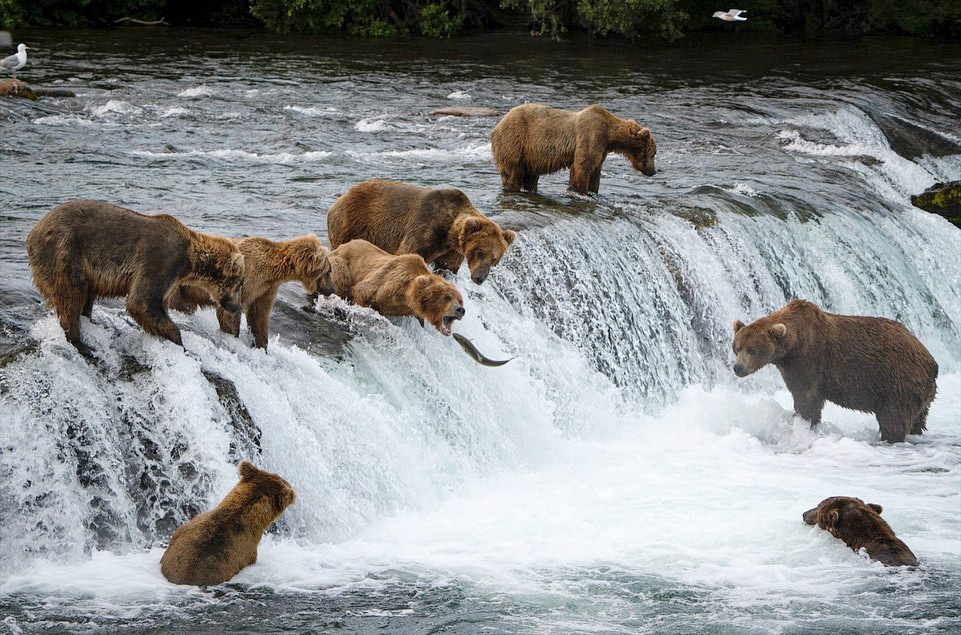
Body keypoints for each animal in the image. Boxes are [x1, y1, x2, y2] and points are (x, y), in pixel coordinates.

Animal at [167, 235, 328, 350]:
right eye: (328, 270)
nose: (329, 289)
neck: (272, 271)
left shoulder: (265, 289)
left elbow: (259, 316)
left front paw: (261, 345)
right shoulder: (247, 279)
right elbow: (229, 312)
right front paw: (233, 335)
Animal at [324, 181, 516, 286]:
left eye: (495, 259)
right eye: (480, 252)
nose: (479, 278)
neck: (449, 233)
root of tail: (338, 200)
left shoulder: (451, 251)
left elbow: (447, 267)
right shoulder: (425, 228)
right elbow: (409, 253)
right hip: (352, 224)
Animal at [492, 103, 656, 196]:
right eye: (653, 153)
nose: (653, 171)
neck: (610, 135)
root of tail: (498, 124)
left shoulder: (602, 149)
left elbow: (595, 171)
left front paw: (592, 191)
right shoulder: (591, 135)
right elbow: (581, 167)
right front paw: (580, 192)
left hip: (530, 156)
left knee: (530, 177)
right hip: (515, 142)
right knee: (512, 172)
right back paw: (512, 188)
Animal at [732, 300, 932, 444]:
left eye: (752, 350)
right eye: (737, 347)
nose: (737, 368)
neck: (793, 344)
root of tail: (930, 361)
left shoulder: (807, 362)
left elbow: (807, 400)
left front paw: (802, 425)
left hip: (898, 383)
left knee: (893, 419)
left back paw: (890, 438)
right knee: (918, 419)